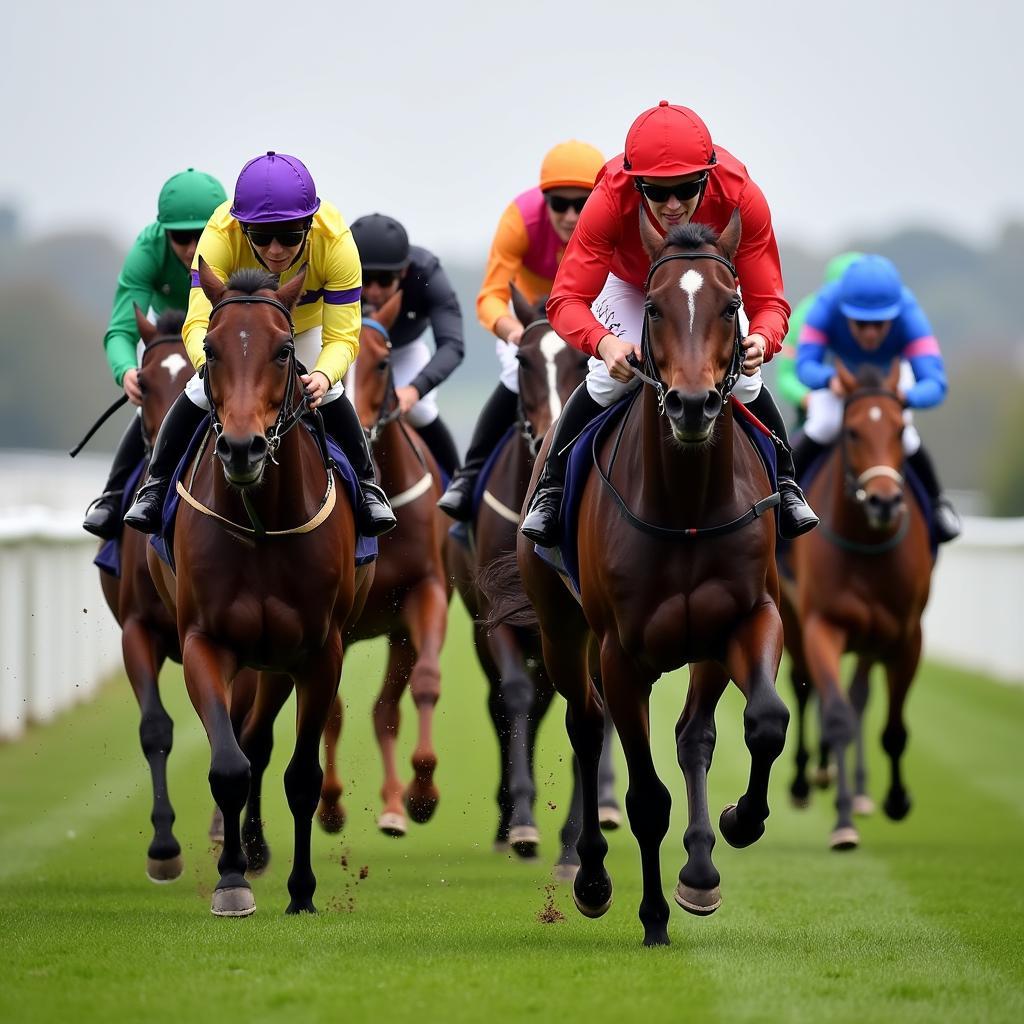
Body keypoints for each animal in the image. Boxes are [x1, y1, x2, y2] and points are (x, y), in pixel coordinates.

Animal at [149, 260, 374, 917]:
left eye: (282, 352)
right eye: (211, 349)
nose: (243, 447)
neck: (261, 523)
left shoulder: (318, 653)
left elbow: (300, 777)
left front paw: (302, 890)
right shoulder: (205, 640)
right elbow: (228, 765)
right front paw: (232, 882)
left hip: (276, 665)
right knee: (242, 747)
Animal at [452, 284, 618, 876]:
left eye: (578, 360)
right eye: (523, 360)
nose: (550, 434)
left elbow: (588, 712)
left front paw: (573, 843)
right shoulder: (497, 615)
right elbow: (516, 696)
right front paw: (522, 820)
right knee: (505, 702)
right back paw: (508, 822)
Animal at [501, 216, 782, 942]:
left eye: (731, 306)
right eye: (653, 309)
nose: (692, 404)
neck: (685, 505)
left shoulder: (749, 617)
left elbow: (765, 720)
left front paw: (740, 824)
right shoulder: (620, 654)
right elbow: (645, 795)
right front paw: (650, 916)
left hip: (704, 648)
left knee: (694, 736)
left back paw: (701, 870)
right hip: (562, 633)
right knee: (585, 724)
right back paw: (591, 874)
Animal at [778, 360, 933, 847]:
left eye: (901, 428)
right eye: (852, 432)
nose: (884, 501)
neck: (867, 544)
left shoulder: (906, 635)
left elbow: (894, 727)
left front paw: (896, 799)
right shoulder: (821, 625)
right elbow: (837, 716)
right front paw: (843, 822)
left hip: (871, 639)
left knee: (859, 694)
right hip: (795, 621)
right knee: (807, 689)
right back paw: (807, 780)